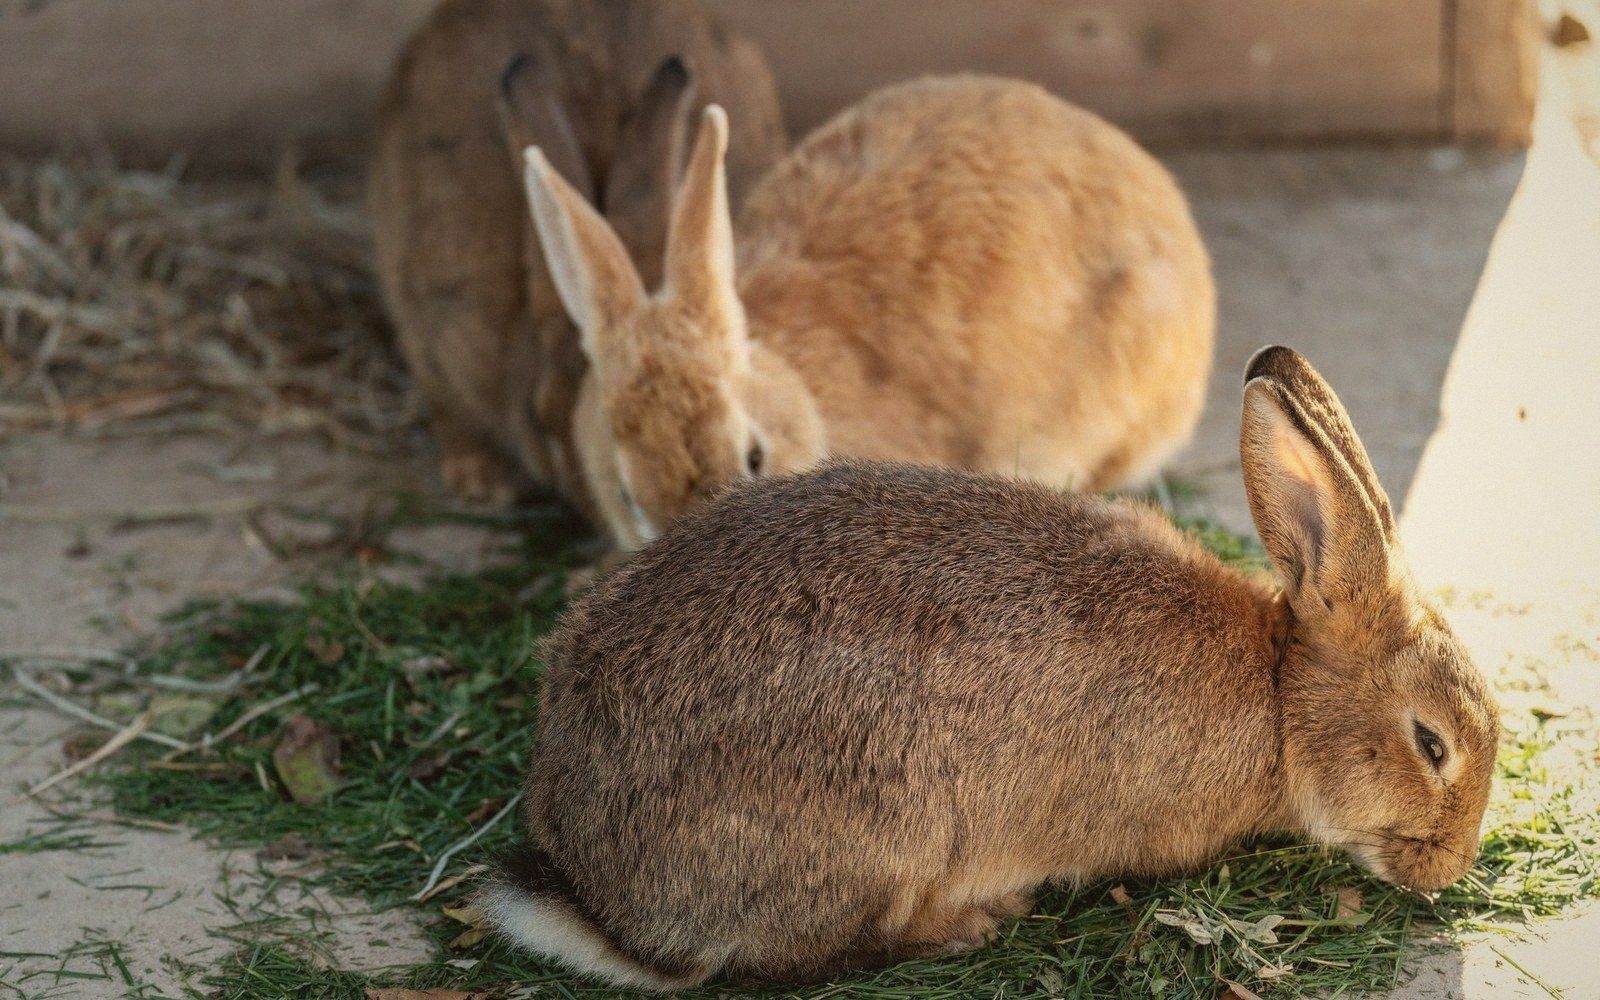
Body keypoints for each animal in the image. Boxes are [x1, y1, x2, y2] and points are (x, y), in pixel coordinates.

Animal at [479, 346, 1500, 989]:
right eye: (1431, 744)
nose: (1448, 869)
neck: (1280, 697)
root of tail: (602, 895)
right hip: (880, 829)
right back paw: (970, 922)